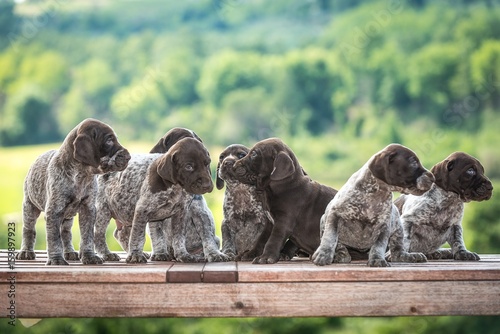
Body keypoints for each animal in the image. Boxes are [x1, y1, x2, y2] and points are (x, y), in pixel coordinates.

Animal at [16, 118, 131, 264]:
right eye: (109, 141)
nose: (128, 156)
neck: (81, 175)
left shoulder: (88, 209)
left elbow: (87, 236)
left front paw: (89, 256)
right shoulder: (53, 211)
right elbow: (54, 238)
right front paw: (56, 260)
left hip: (68, 217)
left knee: (65, 233)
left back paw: (69, 252)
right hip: (30, 206)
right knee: (28, 229)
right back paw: (26, 251)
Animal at [108, 126, 228, 262]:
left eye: (200, 141)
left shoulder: (200, 213)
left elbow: (207, 236)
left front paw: (214, 254)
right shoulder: (153, 216)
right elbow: (157, 236)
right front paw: (159, 253)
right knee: (123, 233)